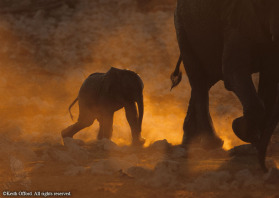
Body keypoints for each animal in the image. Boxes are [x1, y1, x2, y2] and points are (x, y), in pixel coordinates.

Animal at [172, 0, 279, 169]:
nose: (265, 168)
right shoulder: (236, 19)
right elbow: (232, 71)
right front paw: (240, 128)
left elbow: (270, 77)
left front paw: (253, 139)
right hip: (182, 27)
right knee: (199, 80)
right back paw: (212, 144)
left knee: (205, 82)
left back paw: (189, 142)